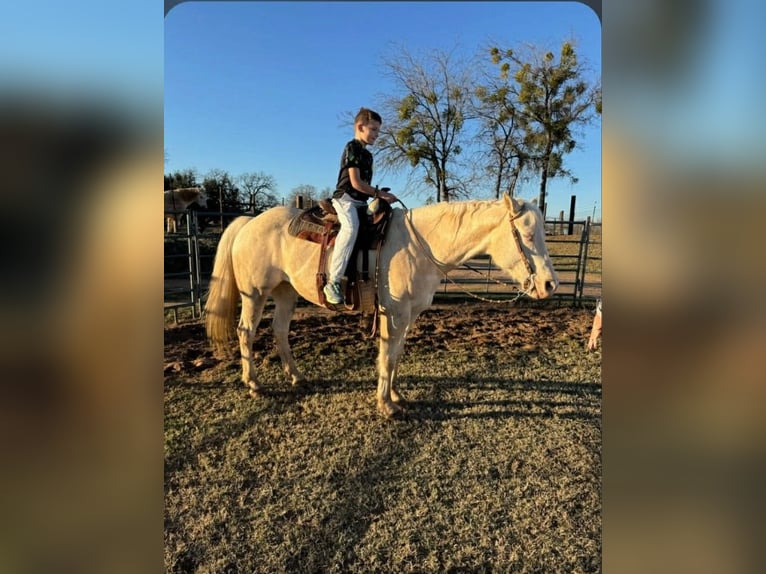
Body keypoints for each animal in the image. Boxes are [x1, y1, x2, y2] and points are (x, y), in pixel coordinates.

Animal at [204, 193, 558, 418]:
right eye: (527, 234)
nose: (549, 285)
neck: (419, 245)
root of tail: (249, 222)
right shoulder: (394, 313)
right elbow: (387, 357)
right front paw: (385, 405)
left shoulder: (409, 315)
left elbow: (396, 355)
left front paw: (396, 396)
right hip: (254, 293)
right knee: (246, 331)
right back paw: (254, 384)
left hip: (285, 292)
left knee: (279, 331)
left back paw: (297, 376)